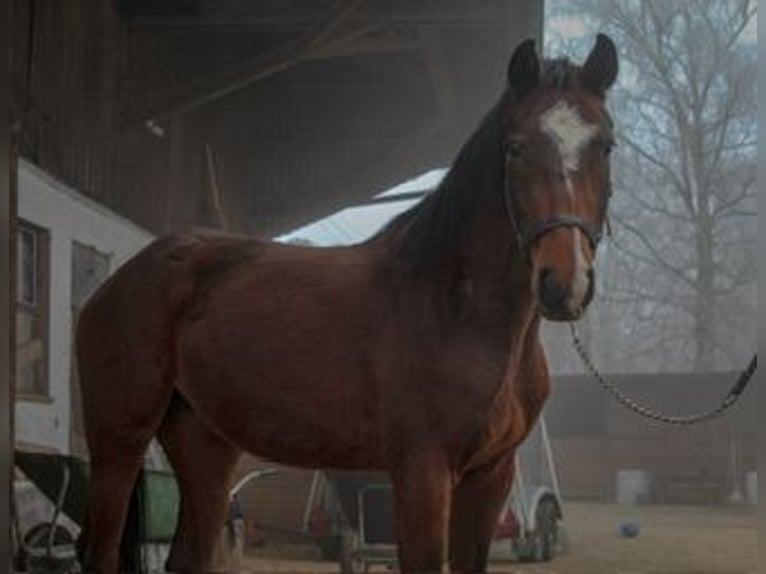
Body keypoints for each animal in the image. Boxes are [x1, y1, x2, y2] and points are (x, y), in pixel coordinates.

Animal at [76, 36, 616, 574]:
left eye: (605, 145)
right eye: (515, 147)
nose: (565, 283)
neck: (458, 310)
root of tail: (127, 276)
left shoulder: (490, 477)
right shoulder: (423, 472)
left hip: (205, 445)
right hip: (119, 440)